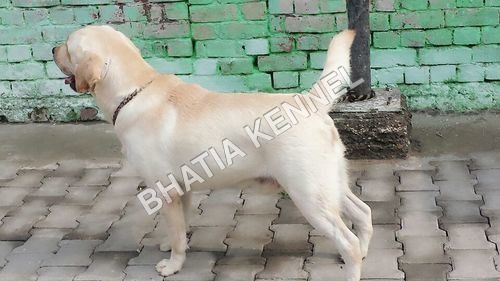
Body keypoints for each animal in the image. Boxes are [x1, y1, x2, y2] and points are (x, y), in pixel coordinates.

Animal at [53, 25, 372, 278]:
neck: (133, 92)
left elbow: (178, 234)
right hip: (329, 184)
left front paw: (172, 266)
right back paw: (365, 251)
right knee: (364, 213)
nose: (53, 48)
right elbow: (180, 227)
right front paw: (172, 246)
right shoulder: (181, 188)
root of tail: (309, 103)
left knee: (348, 241)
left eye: (67, 46)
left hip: (308, 194)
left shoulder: (164, 190)